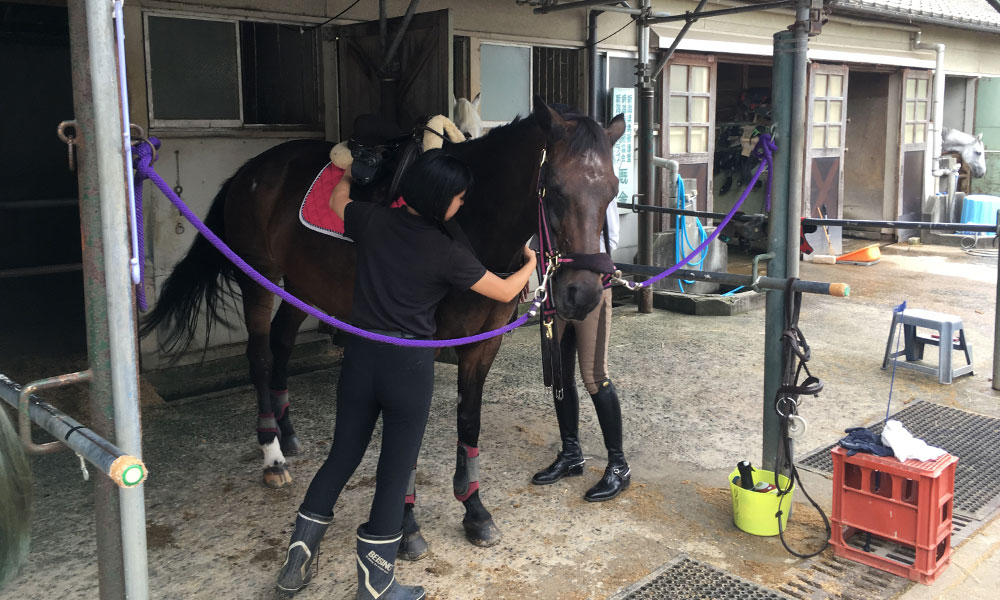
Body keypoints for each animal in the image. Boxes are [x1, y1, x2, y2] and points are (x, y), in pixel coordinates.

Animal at [141, 98, 624, 552]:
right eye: (553, 188)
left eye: (613, 191)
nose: (582, 294)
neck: (469, 222)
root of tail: (251, 170)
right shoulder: (417, 347)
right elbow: (408, 437)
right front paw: (406, 527)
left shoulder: (481, 345)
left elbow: (468, 424)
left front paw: (475, 511)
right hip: (257, 275)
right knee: (259, 355)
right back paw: (272, 454)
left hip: (303, 283)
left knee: (281, 342)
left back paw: (289, 432)